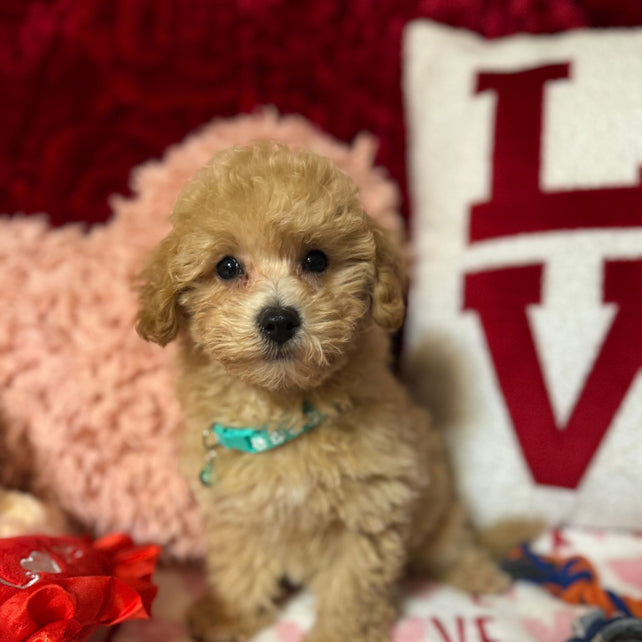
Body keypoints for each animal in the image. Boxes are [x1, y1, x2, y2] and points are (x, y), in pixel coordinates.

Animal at [135, 144, 504, 640]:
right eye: (227, 267)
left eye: (316, 260)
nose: (278, 320)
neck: (283, 412)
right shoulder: (238, 512)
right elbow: (239, 570)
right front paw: (227, 615)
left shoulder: (370, 506)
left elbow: (352, 587)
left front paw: (340, 633)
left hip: (439, 508)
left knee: (452, 545)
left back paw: (482, 575)